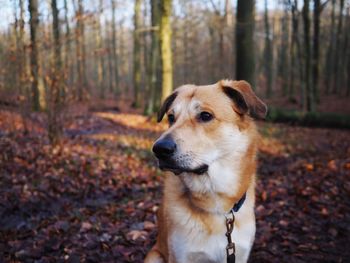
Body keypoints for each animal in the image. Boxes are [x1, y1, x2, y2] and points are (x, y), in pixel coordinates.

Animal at [145, 80, 268, 263]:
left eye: (205, 116)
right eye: (171, 117)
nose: (159, 149)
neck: (217, 206)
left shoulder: (239, 254)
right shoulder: (181, 256)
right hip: (155, 256)